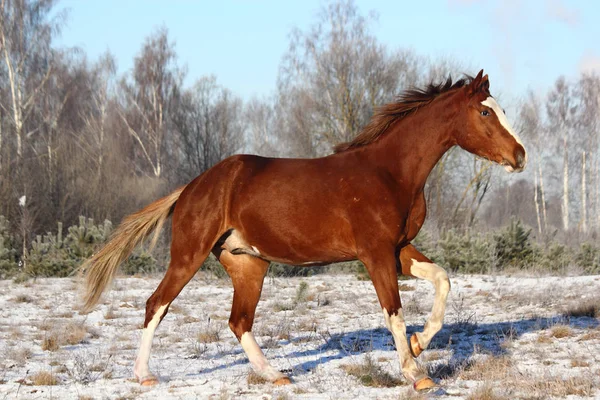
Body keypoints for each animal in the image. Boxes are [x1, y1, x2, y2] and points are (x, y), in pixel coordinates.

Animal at [79, 70, 524, 392]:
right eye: (486, 112)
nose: (520, 156)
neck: (391, 173)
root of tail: (192, 187)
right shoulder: (376, 254)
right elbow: (394, 312)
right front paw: (416, 374)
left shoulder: (399, 248)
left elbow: (443, 280)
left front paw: (419, 345)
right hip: (189, 255)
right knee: (157, 305)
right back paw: (144, 376)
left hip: (249, 265)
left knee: (239, 322)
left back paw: (275, 375)